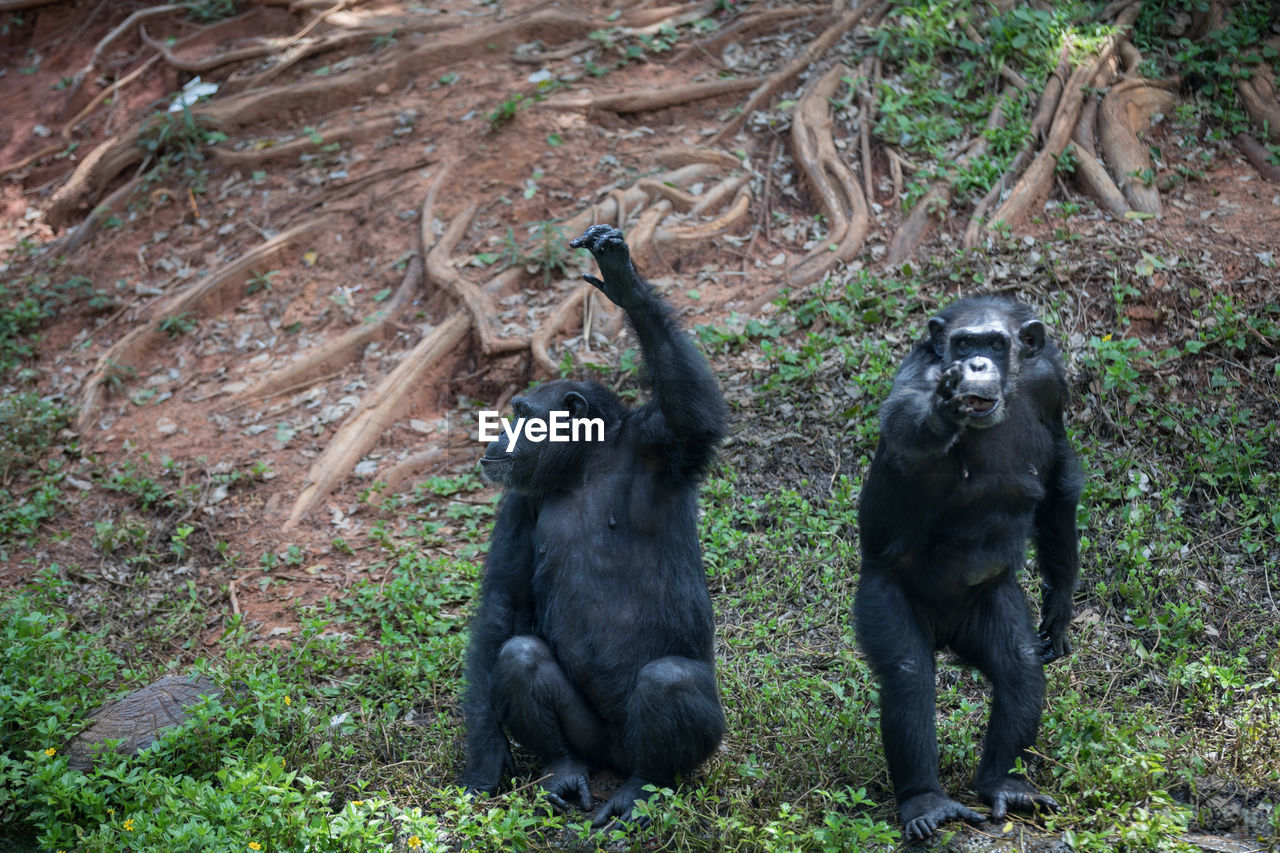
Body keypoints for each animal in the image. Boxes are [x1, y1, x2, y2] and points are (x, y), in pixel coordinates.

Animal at [460, 224, 727, 824]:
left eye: (523, 415)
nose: (499, 435)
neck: (585, 464)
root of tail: (614, 759)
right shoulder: (518, 505)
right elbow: (504, 604)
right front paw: (485, 758)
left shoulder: (662, 445)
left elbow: (692, 415)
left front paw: (626, 284)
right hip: (591, 739)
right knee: (519, 656)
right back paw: (563, 771)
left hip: (669, 742)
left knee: (668, 684)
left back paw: (643, 790)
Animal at [860, 295, 1080, 840]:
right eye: (963, 344)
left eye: (995, 344)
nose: (977, 364)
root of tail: (945, 635)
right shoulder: (917, 377)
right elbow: (907, 424)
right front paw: (944, 408)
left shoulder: (1050, 381)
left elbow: (1059, 482)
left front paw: (1061, 604)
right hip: (880, 593)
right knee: (908, 677)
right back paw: (926, 802)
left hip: (989, 603)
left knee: (1020, 669)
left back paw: (1004, 783)